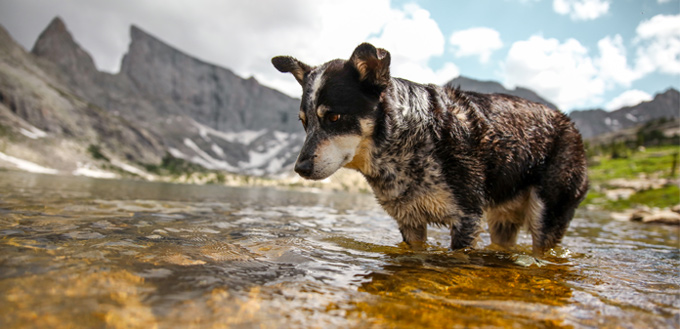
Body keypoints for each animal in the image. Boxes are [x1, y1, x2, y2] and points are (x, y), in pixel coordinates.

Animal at [274, 42, 588, 255]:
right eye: (304, 122)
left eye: (334, 118)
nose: (300, 168)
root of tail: (570, 125)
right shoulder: (410, 222)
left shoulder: (467, 219)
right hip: (502, 221)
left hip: (546, 215)